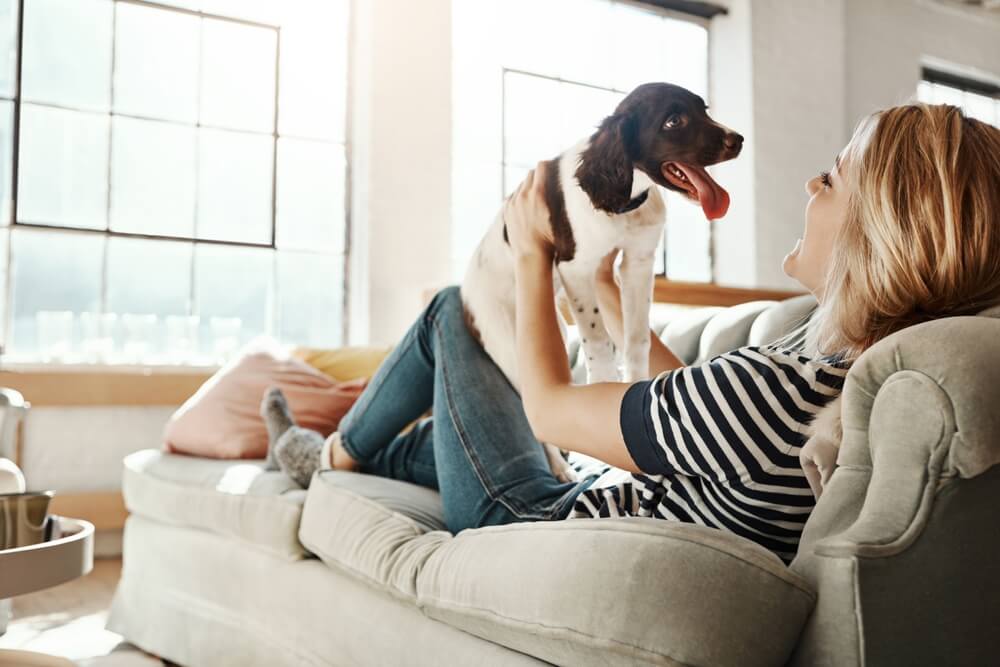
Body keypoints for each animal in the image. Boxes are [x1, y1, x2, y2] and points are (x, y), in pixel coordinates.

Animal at [460, 82, 744, 480]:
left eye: (704, 110)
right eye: (673, 121)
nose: (739, 140)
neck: (625, 198)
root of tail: (465, 293)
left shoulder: (638, 264)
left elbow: (636, 340)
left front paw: (634, 384)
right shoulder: (576, 268)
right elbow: (598, 343)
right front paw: (604, 383)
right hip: (508, 344)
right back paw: (560, 468)